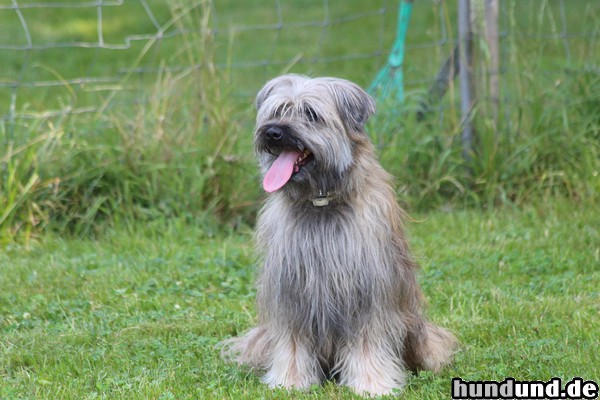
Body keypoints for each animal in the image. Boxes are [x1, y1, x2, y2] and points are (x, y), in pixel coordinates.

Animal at [223, 73, 458, 396]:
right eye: (277, 110)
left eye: (311, 114)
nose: (272, 132)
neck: (321, 202)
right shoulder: (291, 291)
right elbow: (292, 340)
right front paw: (290, 381)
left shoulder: (368, 292)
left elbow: (368, 341)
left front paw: (371, 384)